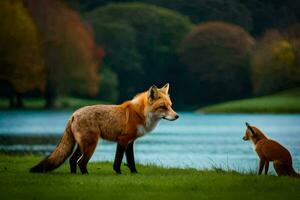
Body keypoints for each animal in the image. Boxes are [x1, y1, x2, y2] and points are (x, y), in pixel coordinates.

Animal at [30, 83, 178, 174]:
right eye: (163, 107)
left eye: (170, 106)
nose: (177, 116)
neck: (140, 113)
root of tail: (73, 114)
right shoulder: (123, 140)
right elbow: (118, 161)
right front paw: (119, 174)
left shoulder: (130, 142)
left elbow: (131, 161)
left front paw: (134, 173)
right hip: (91, 145)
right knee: (81, 162)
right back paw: (86, 175)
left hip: (82, 145)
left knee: (72, 160)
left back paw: (74, 175)